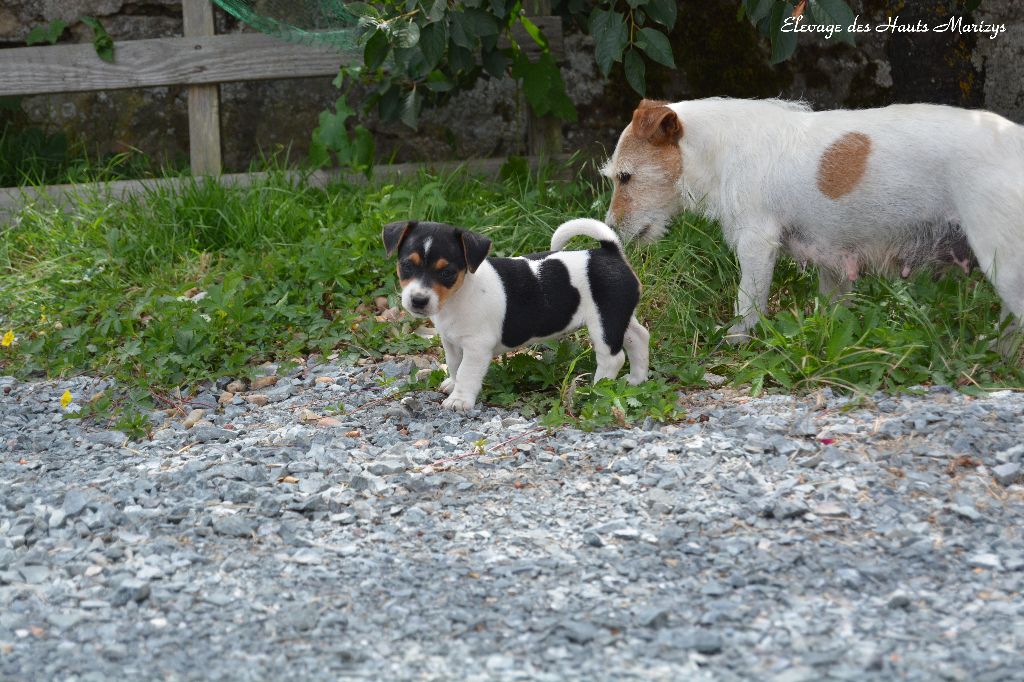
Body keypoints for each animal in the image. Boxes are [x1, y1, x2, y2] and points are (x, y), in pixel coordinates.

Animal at [382, 218, 650, 411]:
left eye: (446, 272)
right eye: (407, 265)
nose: (418, 300)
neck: (460, 293)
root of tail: (608, 251)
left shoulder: (477, 347)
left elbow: (467, 372)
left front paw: (460, 400)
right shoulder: (451, 342)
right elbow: (455, 365)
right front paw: (452, 384)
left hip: (604, 321)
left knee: (612, 358)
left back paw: (595, 390)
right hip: (620, 315)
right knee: (639, 337)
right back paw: (637, 380)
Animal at [602, 98, 1024, 353]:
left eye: (625, 177)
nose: (609, 234)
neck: (720, 149)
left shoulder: (757, 244)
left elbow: (747, 304)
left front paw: (733, 343)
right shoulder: (834, 263)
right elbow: (835, 312)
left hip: (1005, 264)